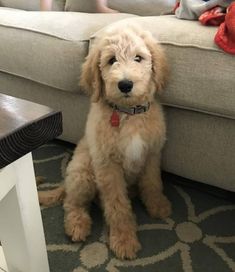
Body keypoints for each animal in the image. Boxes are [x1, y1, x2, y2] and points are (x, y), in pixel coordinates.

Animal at [63, 23, 172, 260]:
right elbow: (117, 206)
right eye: (112, 60)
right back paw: (77, 224)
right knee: (72, 202)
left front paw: (158, 205)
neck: (128, 113)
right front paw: (123, 239)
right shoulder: (108, 166)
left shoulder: (151, 154)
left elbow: (153, 183)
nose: (125, 84)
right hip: (82, 173)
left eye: (138, 58)